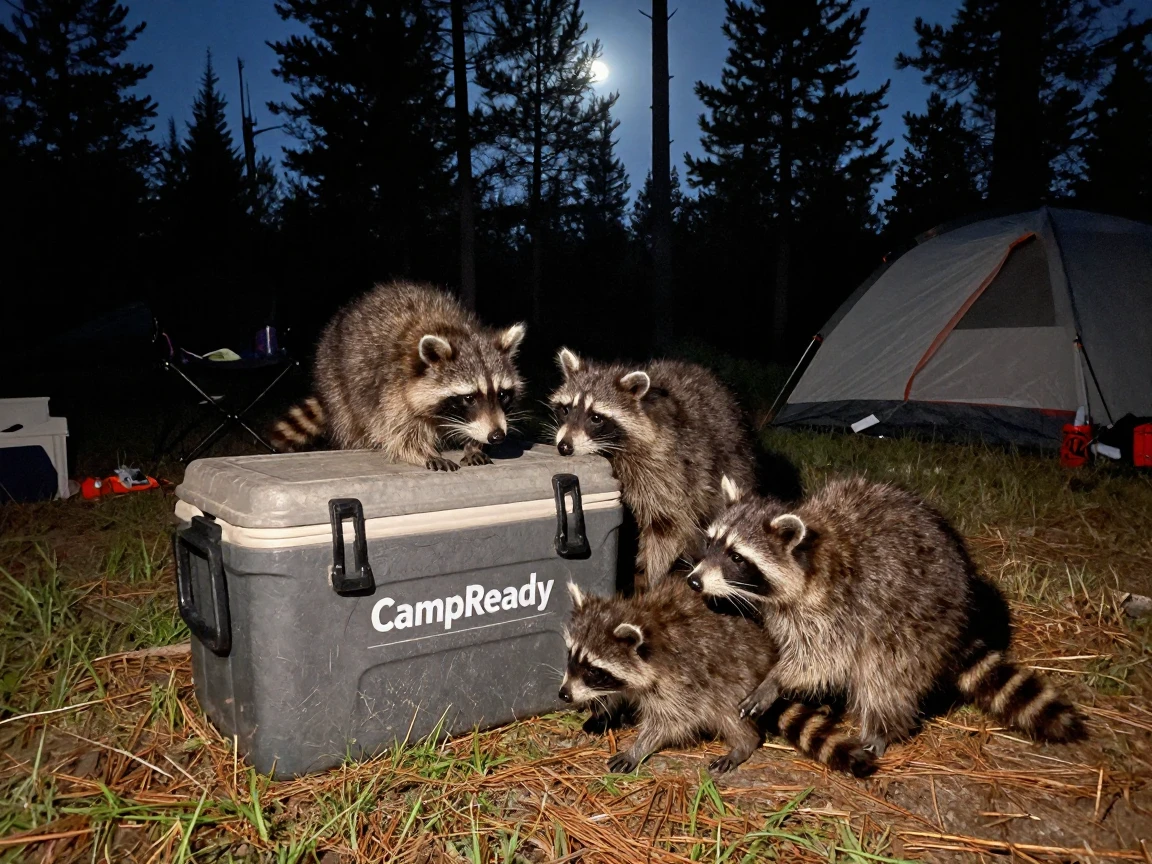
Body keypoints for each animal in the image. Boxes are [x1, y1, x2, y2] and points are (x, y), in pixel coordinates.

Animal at [271, 281, 526, 471]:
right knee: (351, 423)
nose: (497, 436)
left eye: (502, 395)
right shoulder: (390, 387)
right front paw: (421, 453)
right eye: (469, 398)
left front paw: (474, 445)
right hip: (335, 381)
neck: (454, 331)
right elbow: (397, 430)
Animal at [548, 349, 757, 585]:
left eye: (596, 418)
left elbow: (666, 526)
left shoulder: (669, 469)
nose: (564, 446)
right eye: (566, 410)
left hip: (732, 467)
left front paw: (652, 580)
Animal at [559, 578, 877, 777]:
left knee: (727, 712)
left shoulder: (680, 681)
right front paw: (605, 711)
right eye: (571, 657)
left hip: (733, 680)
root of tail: (766, 658)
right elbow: (617, 694)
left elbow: (672, 721)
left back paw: (743, 743)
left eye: (593, 670)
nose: (563, 694)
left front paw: (639, 747)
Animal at [688, 475, 1086, 755]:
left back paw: (881, 728)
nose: (693, 580)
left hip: (913, 624)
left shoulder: (839, 608)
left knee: (886, 677)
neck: (809, 557)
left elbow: (822, 660)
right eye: (710, 542)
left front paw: (777, 679)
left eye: (737, 557)